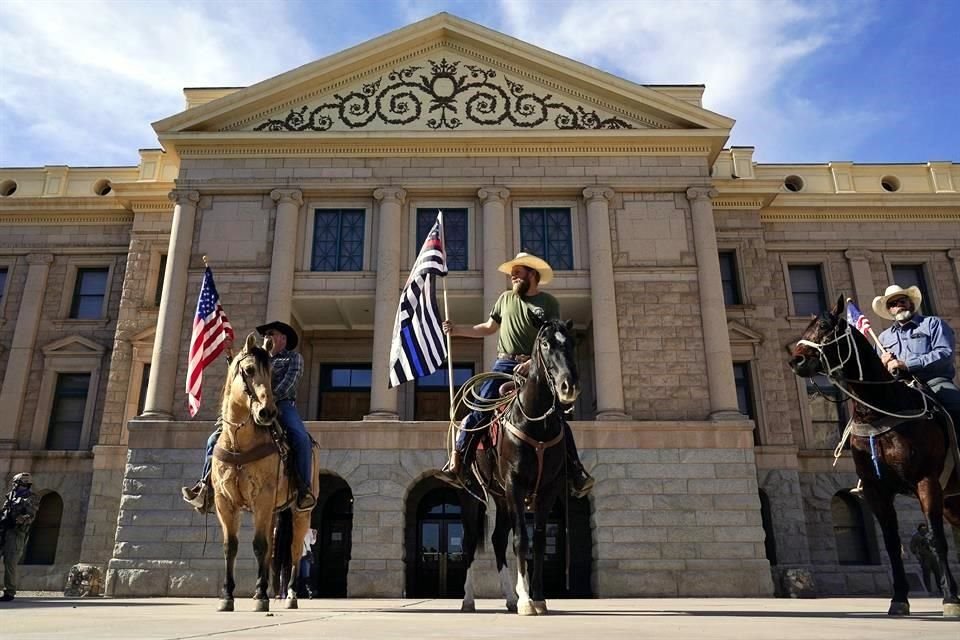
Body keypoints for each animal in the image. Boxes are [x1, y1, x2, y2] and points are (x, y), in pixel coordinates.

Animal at [211, 332, 318, 612]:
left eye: (271, 373)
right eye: (248, 370)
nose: (267, 412)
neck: (238, 441)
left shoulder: (262, 496)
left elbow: (259, 545)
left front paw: (260, 596)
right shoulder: (224, 501)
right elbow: (230, 547)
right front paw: (227, 595)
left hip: (300, 512)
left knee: (293, 551)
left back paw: (290, 596)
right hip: (272, 512)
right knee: (272, 548)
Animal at [460, 320, 584, 616]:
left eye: (572, 342)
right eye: (546, 343)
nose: (568, 386)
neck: (536, 422)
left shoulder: (547, 489)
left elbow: (537, 541)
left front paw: (537, 598)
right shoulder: (515, 484)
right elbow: (520, 541)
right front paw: (526, 599)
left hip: (501, 498)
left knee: (496, 539)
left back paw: (509, 598)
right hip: (473, 495)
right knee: (469, 541)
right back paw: (468, 599)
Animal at [788, 296, 960, 616]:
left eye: (825, 327)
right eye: (808, 326)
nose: (796, 361)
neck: (877, 411)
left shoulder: (927, 481)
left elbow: (936, 539)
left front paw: (950, 599)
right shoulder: (875, 489)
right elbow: (892, 543)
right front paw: (899, 599)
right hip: (952, 501)